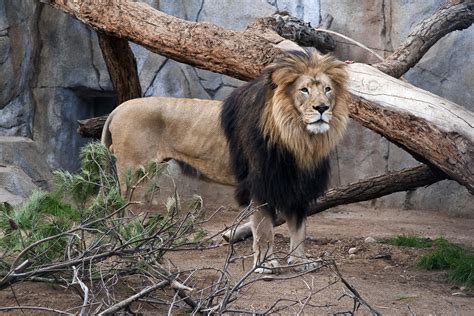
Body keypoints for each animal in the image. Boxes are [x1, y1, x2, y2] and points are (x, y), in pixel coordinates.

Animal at [221, 49, 348, 272]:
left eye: (328, 89)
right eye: (304, 90)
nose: (322, 107)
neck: (299, 142)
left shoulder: (299, 187)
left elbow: (299, 229)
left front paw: (299, 261)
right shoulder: (260, 184)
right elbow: (263, 228)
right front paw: (265, 263)